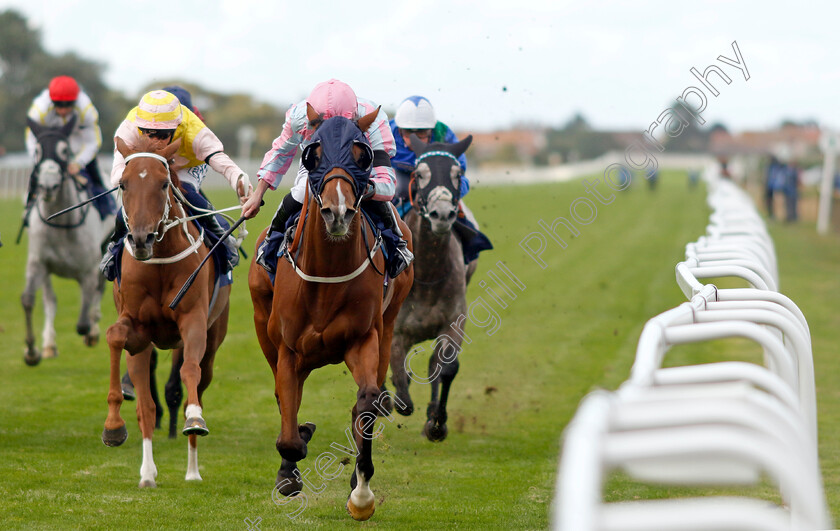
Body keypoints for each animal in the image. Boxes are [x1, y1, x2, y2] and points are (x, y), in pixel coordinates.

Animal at [22, 117, 113, 366]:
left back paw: (93, 331)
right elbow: (29, 300)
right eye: (37, 150)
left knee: (98, 292)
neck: (61, 221)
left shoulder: (89, 270)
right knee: (50, 300)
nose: (47, 186)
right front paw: (32, 351)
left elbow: (83, 322)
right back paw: (49, 344)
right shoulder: (38, 264)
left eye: (64, 150)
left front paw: (91, 332)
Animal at [101, 136, 230, 490]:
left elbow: (189, 374)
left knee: (197, 382)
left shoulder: (193, 320)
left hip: (214, 337)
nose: (141, 238)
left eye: (162, 184)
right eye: (123, 184)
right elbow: (115, 337)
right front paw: (113, 427)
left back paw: (192, 469)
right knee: (147, 403)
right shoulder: (138, 331)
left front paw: (195, 419)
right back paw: (148, 472)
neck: (158, 261)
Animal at [246, 106, 414, 520]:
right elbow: (289, 429)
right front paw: (292, 464)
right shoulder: (289, 350)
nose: (338, 212)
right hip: (263, 327)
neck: (327, 276)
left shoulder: (363, 338)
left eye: (362, 154)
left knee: (370, 397)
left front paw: (362, 493)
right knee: (283, 397)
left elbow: (367, 402)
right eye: (313, 154)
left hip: (388, 324)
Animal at [388, 135, 480, 442]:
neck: (427, 274)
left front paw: (437, 422)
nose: (442, 214)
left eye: (458, 174)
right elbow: (400, 383)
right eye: (419, 174)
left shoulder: (453, 321)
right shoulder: (396, 330)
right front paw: (396, 398)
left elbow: (446, 367)